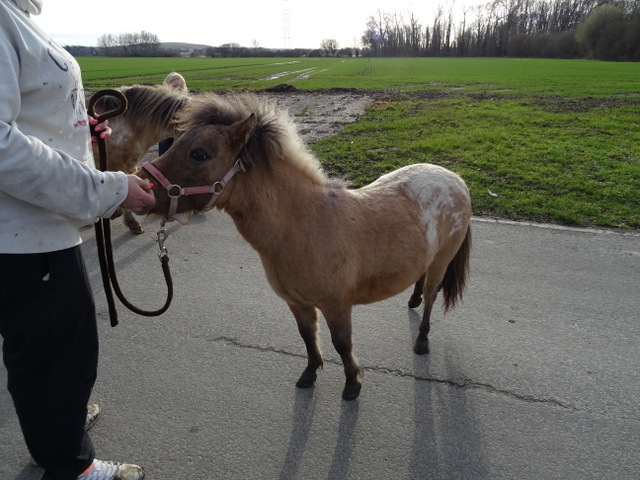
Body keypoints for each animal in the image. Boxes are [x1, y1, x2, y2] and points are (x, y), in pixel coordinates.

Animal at [136, 92, 472, 401]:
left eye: (199, 154)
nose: (141, 185)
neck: (304, 226)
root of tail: (456, 179)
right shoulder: (296, 302)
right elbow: (308, 337)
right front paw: (310, 374)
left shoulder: (337, 305)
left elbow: (342, 344)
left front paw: (352, 385)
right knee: (420, 279)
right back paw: (412, 300)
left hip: (442, 260)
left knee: (432, 294)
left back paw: (422, 340)